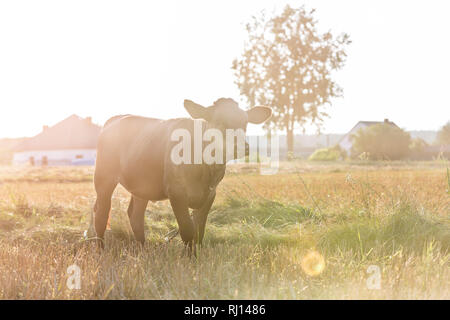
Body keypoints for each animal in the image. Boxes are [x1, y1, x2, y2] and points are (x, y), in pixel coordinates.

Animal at [91, 97, 270, 252]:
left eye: (245, 122)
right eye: (218, 120)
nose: (242, 146)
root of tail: (116, 118)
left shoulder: (210, 194)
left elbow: (199, 232)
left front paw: (196, 256)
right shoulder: (176, 192)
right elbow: (187, 229)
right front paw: (189, 259)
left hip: (142, 186)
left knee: (135, 216)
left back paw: (142, 250)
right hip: (103, 178)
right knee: (101, 214)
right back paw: (100, 251)